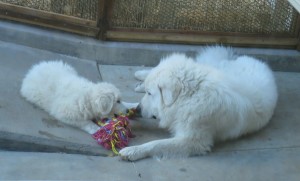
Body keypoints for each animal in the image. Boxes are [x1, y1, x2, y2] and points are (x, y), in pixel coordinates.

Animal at [119, 46, 276, 160]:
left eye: (150, 93)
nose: (139, 110)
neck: (190, 97)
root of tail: (256, 61)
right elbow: (133, 104)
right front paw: (123, 106)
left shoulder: (193, 141)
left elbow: (156, 144)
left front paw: (133, 151)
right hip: (217, 68)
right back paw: (140, 76)